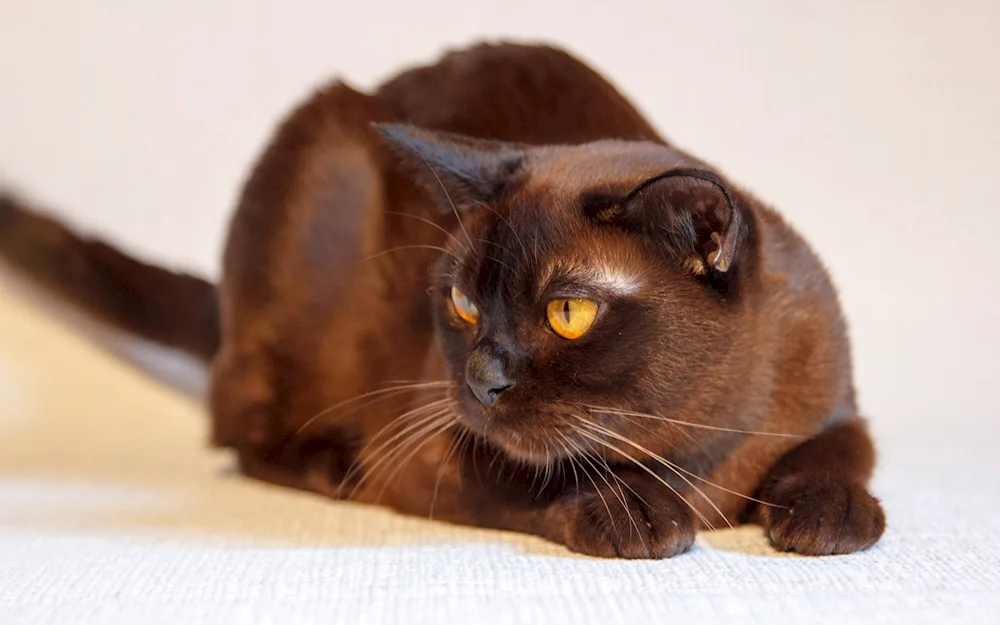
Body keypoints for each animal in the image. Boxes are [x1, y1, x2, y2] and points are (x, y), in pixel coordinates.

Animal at [0, 44, 888, 560]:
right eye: (462, 304)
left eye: (567, 313)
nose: (483, 378)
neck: (696, 456)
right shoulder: (428, 439)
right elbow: (539, 481)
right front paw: (638, 515)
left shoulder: (838, 402)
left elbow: (837, 453)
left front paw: (830, 517)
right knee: (243, 431)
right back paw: (329, 465)